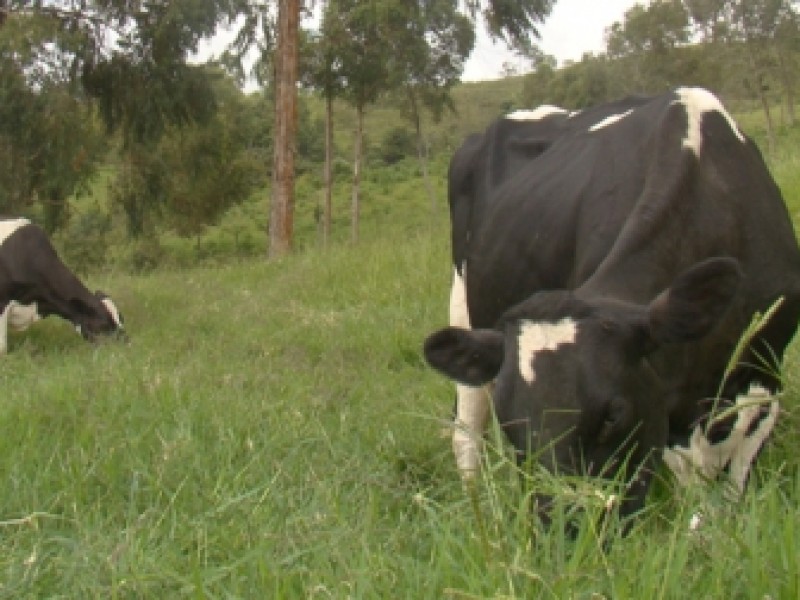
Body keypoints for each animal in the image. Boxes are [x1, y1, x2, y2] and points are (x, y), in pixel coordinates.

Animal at [422, 86, 800, 516]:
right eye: (512, 423)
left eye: (612, 416)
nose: (561, 523)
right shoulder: (667, 401)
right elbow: (696, 486)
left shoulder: (763, 371)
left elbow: (735, 478)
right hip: (465, 312)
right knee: (465, 431)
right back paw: (483, 516)